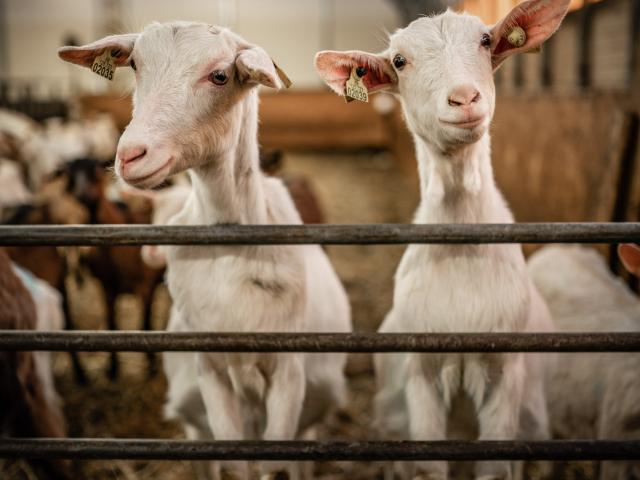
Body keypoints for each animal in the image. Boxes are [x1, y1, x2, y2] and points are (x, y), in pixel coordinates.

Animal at [59, 22, 350, 480]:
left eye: (220, 75)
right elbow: (235, 463)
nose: (131, 155)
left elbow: (276, 464)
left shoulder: (288, 371)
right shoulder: (211, 369)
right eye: (135, 64)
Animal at [316, 1, 568, 478]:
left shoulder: (505, 374)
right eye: (399, 61)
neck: (461, 249)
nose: (464, 98)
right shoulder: (422, 374)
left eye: (486, 41)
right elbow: (428, 466)